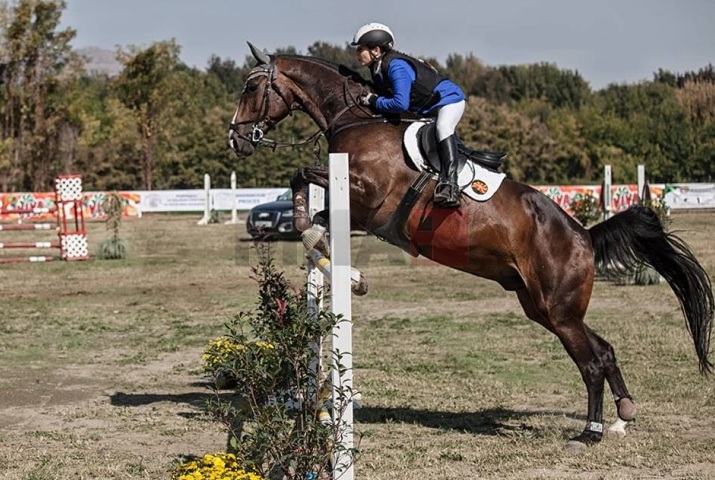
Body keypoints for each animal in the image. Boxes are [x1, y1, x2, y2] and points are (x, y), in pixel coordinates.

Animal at [231, 43, 715, 448]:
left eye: (252, 87)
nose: (236, 139)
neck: (356, 116)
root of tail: (583, 236)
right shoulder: (356, 204)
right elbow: (310, 203)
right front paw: (335, 258)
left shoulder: (367, 192)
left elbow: (303, 176)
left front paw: (320, 243)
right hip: (543, 307)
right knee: (604, 350)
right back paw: (621, 416)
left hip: (559, 310)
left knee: (592, 361)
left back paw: (590, 432)